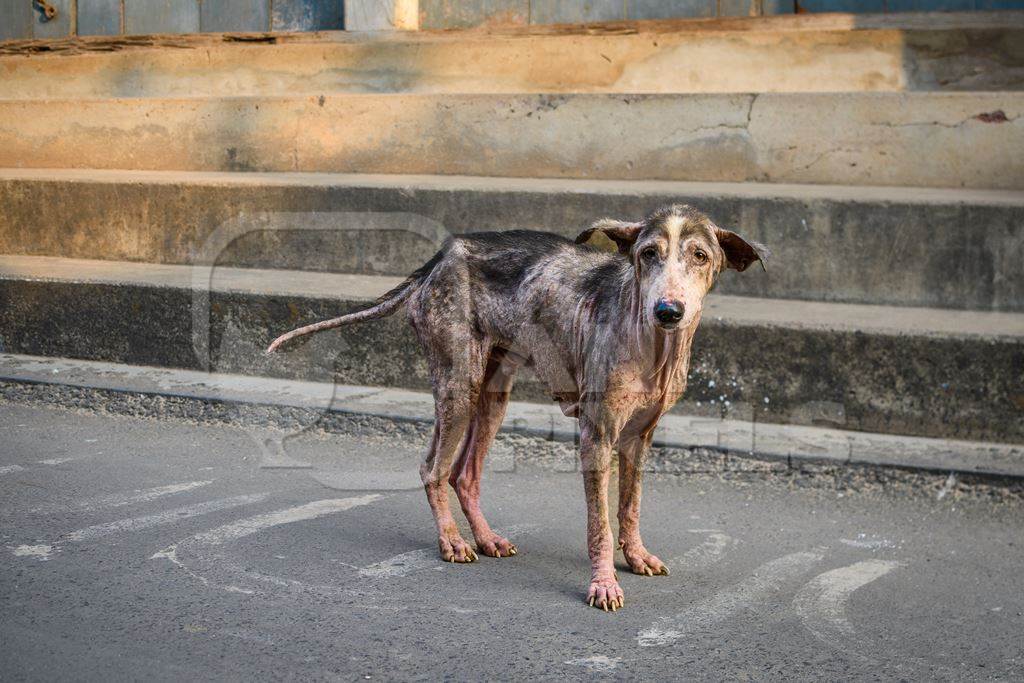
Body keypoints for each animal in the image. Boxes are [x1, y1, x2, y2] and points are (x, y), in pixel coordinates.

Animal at [268, 204, 765, 614]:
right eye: (647, 254)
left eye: (700, 256)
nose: (668, 310)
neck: (652, 342)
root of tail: (440, 258)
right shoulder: (597, 435)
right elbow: (600, 524)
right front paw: (603, 583)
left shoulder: (638, 439)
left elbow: (630, 506)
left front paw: (636, 554)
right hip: (459, 389)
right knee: (433, 469)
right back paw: (452, 541)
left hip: (493, 397)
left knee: (464, 475)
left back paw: (485, 538)